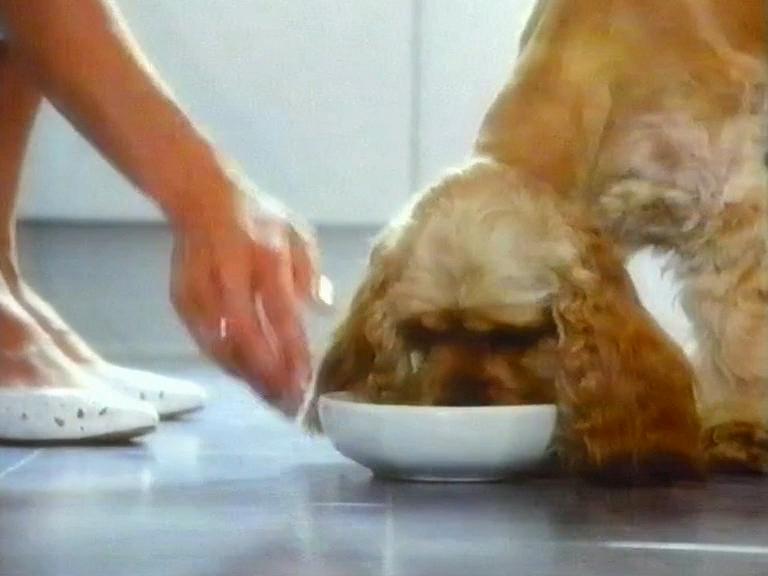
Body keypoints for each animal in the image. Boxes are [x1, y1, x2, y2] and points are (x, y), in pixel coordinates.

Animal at [302, 0, 767, 482]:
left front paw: (741, 426)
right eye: (423, 334)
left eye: (513, 337)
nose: (460, 404)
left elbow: (740, 334)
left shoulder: (729, 210)